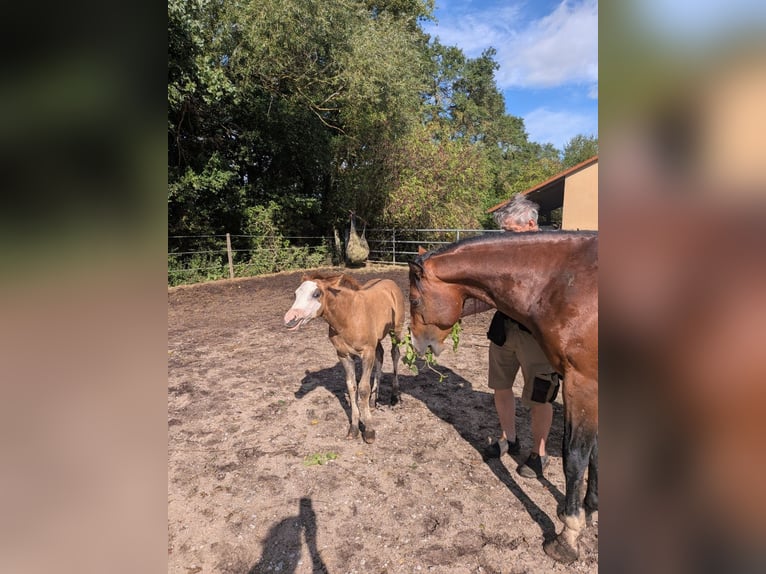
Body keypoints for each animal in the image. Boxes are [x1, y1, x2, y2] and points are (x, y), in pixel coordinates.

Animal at [284, 272, 405, 443]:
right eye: (295, 294)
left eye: (316, 294)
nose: (290, 319)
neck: (348, 317)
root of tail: (389, 282)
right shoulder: (344, 355)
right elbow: (352, 387)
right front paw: (354, 429)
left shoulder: (367, 353)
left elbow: (363, 389)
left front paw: (369, 431)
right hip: (377, 340)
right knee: (380, 355)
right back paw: (373, 400)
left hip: (396, 331)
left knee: (395, 354)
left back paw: (394, 397)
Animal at [407, 231, 598, 564]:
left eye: (414, 299)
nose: (418, 344)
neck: (564, 280)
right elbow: (596, 455)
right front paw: (590, 509)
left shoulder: (583, 383)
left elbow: (575, 458)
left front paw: (568, 537)